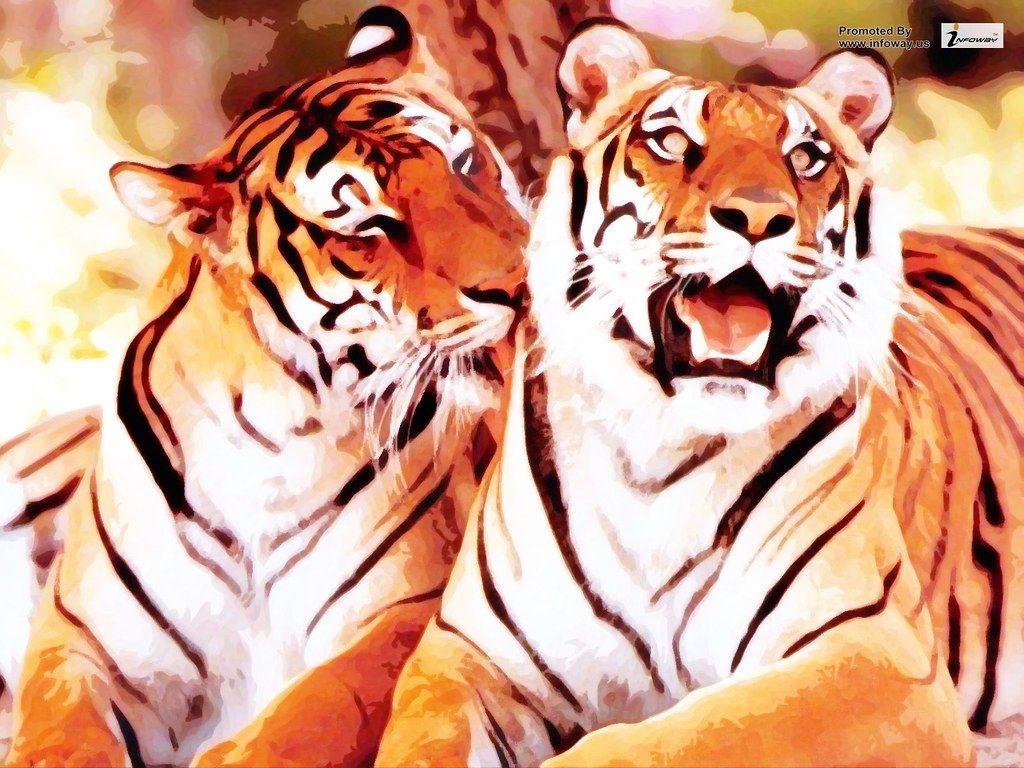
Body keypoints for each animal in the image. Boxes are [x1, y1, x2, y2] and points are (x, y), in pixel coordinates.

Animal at [4, 6, 531, 767]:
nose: (521, 285)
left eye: (464, 164)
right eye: (369, 228)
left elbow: (305, 717)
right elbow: (58, 739)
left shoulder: (403, 614)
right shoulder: (82, 642)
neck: (266, 435)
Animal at [375, 20, 1024, 768]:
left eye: (806, 157)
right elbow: (419, 745)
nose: (758, 218)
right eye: (672, 143)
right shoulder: (464, 657)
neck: (657, 455)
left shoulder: (875, 654)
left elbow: (668, 738)